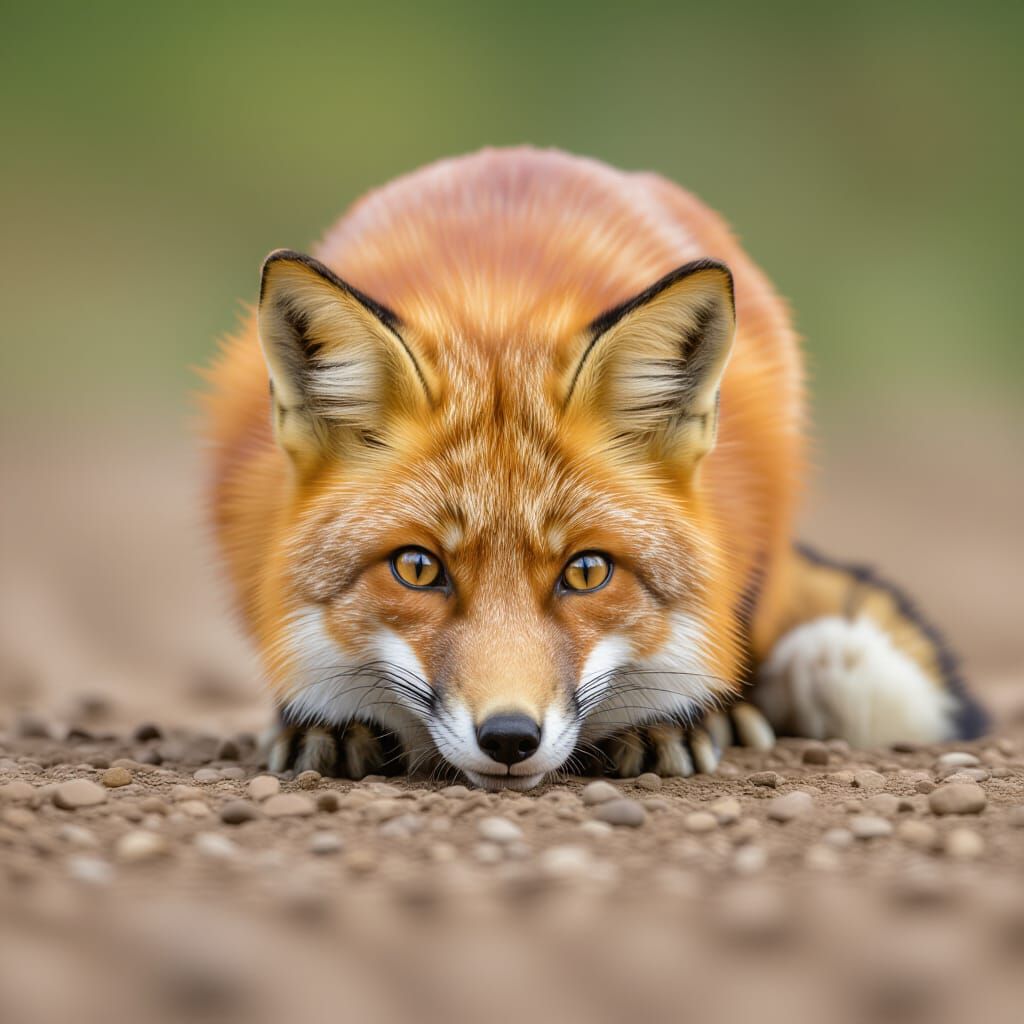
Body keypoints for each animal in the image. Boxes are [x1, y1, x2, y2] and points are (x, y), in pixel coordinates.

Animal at [204, 147, 985, 790]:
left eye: (586, 572)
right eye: (418, 568)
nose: (509, 739)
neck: (498, 304)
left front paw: (668, 719)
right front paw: (327, 720)